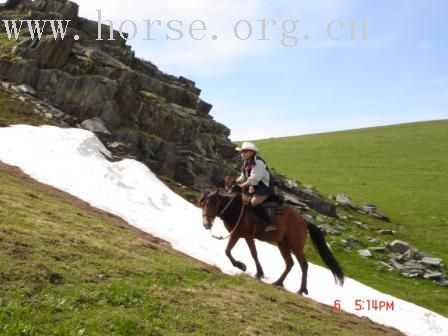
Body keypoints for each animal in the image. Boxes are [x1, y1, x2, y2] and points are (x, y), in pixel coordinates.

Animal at [199, 188, 344, 296]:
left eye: (214, 203)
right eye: (203, 204)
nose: (206, 224)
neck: (237, 209)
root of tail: (304, 221)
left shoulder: (244, 235)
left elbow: (250, 253)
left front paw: (254, 271)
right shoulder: (238, 235)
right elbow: (230, 251)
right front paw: (244, 267)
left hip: (296, 246)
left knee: (304, 264)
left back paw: (301, 290)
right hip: (283, 245)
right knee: (290, 263)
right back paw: (278, 282)